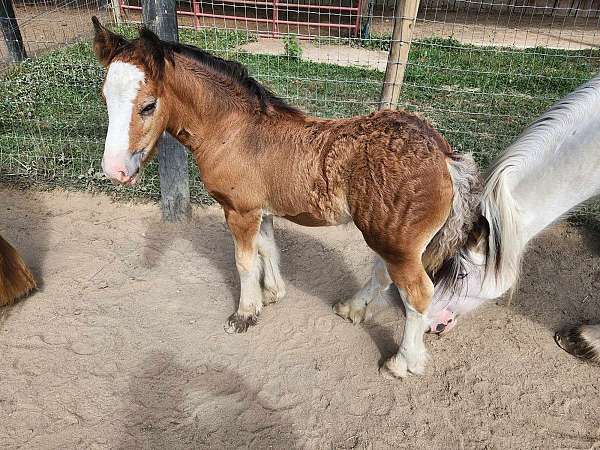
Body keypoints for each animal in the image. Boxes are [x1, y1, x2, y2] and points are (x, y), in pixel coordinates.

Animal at [91, 16, 480, 376]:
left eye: (148, 106)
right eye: (105, 97)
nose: (114, 170)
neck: (235, 131)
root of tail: (444, 155)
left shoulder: (240, 212)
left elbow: (244, 261)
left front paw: (245, 313)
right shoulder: (260, 211)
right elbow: (268, 248)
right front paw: (272, 294)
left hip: (396, 242)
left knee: (417, 294)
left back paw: (402, 363)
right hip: (391, 240)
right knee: (385, 274)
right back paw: (352, 309)